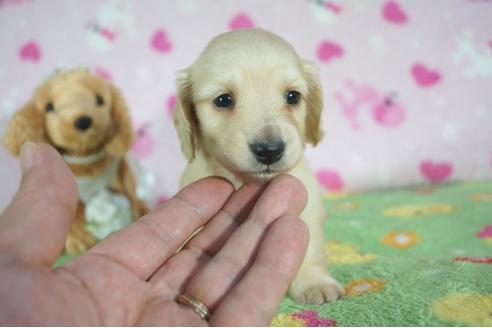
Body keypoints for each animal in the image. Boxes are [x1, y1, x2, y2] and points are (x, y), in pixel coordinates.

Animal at [175, 28, 344, 304]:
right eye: (223, 100)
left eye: (293, 96)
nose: (269, 151)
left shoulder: (307, 204)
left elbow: (309, 243)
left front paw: (314, 282)